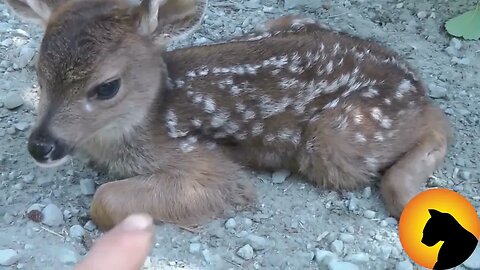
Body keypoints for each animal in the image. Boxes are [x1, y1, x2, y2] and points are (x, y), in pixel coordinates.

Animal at [5, 0, 452, 230]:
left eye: (107, 87)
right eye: (39, 72)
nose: (41, 146)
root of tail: (411, 79)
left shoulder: (203, 162)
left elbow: (104, 200)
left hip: (337, 140)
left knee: (437, 123)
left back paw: (404, 190)